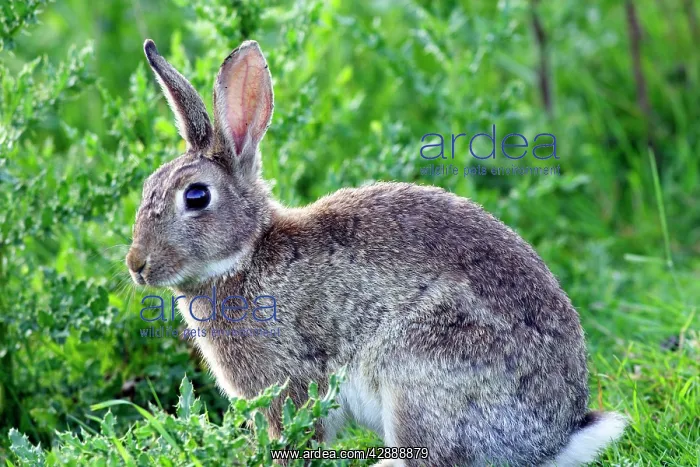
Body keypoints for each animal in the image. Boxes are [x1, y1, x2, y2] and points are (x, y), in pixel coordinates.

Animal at [126, 38, 627, 467]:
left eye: (196, 197)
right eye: (148, 187)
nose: (137, 266)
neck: (247, 254)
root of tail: (552, 440)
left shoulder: (290, 385)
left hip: (417, 375)